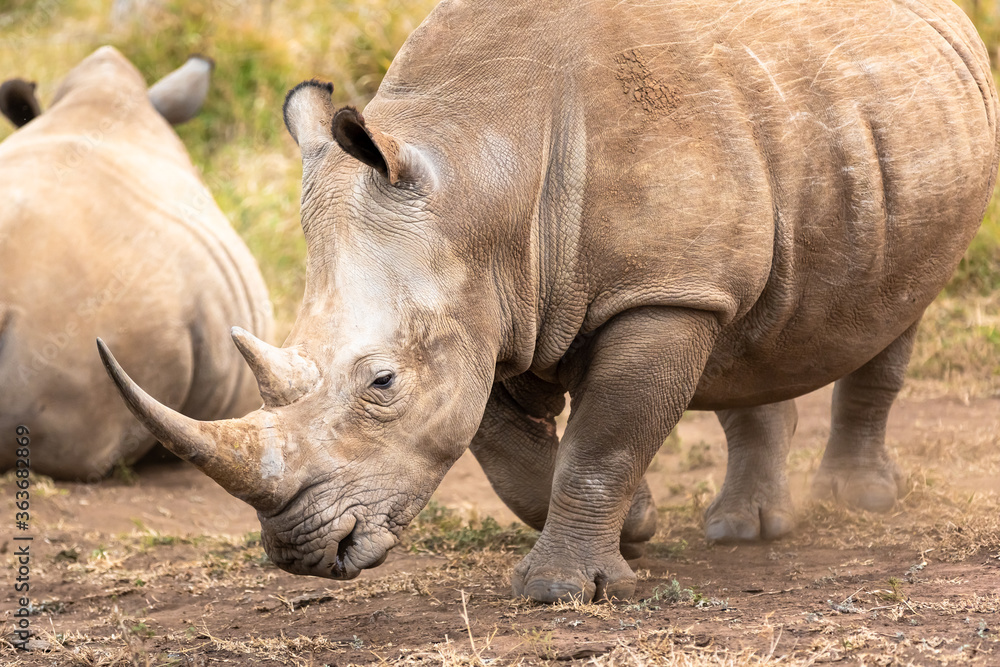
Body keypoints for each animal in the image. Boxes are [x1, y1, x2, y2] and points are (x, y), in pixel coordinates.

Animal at [100, 0, 998, 602]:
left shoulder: (658, 293)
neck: (480, 168)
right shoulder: (486, 307)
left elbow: (604, 437)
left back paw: (856, 501)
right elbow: (508, 451)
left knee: (897, 310)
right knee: (749, 326)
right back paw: (740, 528)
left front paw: (561, 591)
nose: (298, 551)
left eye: (382, 383)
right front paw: (637, 525)